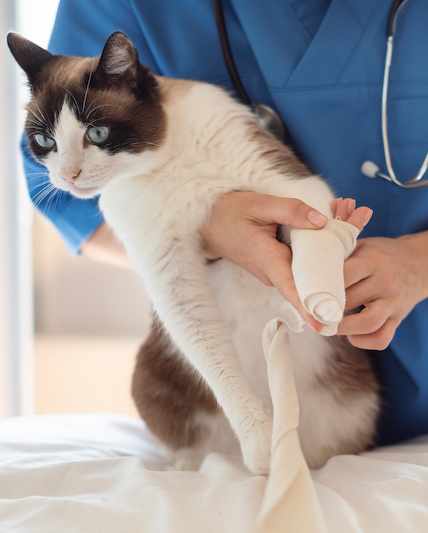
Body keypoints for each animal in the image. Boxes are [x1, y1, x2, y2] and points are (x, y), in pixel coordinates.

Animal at [8, 31, 380, 472]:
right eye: (44, 142)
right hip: (150, 374)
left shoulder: (296, 191)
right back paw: (198, 463)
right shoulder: (170, 277)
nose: (68, 175)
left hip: (357, 405)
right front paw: (261, 445)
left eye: (97, 134)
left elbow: (315, 235)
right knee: (205, 443)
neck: (164, 164)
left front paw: (323, 301)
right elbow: (213, 361)